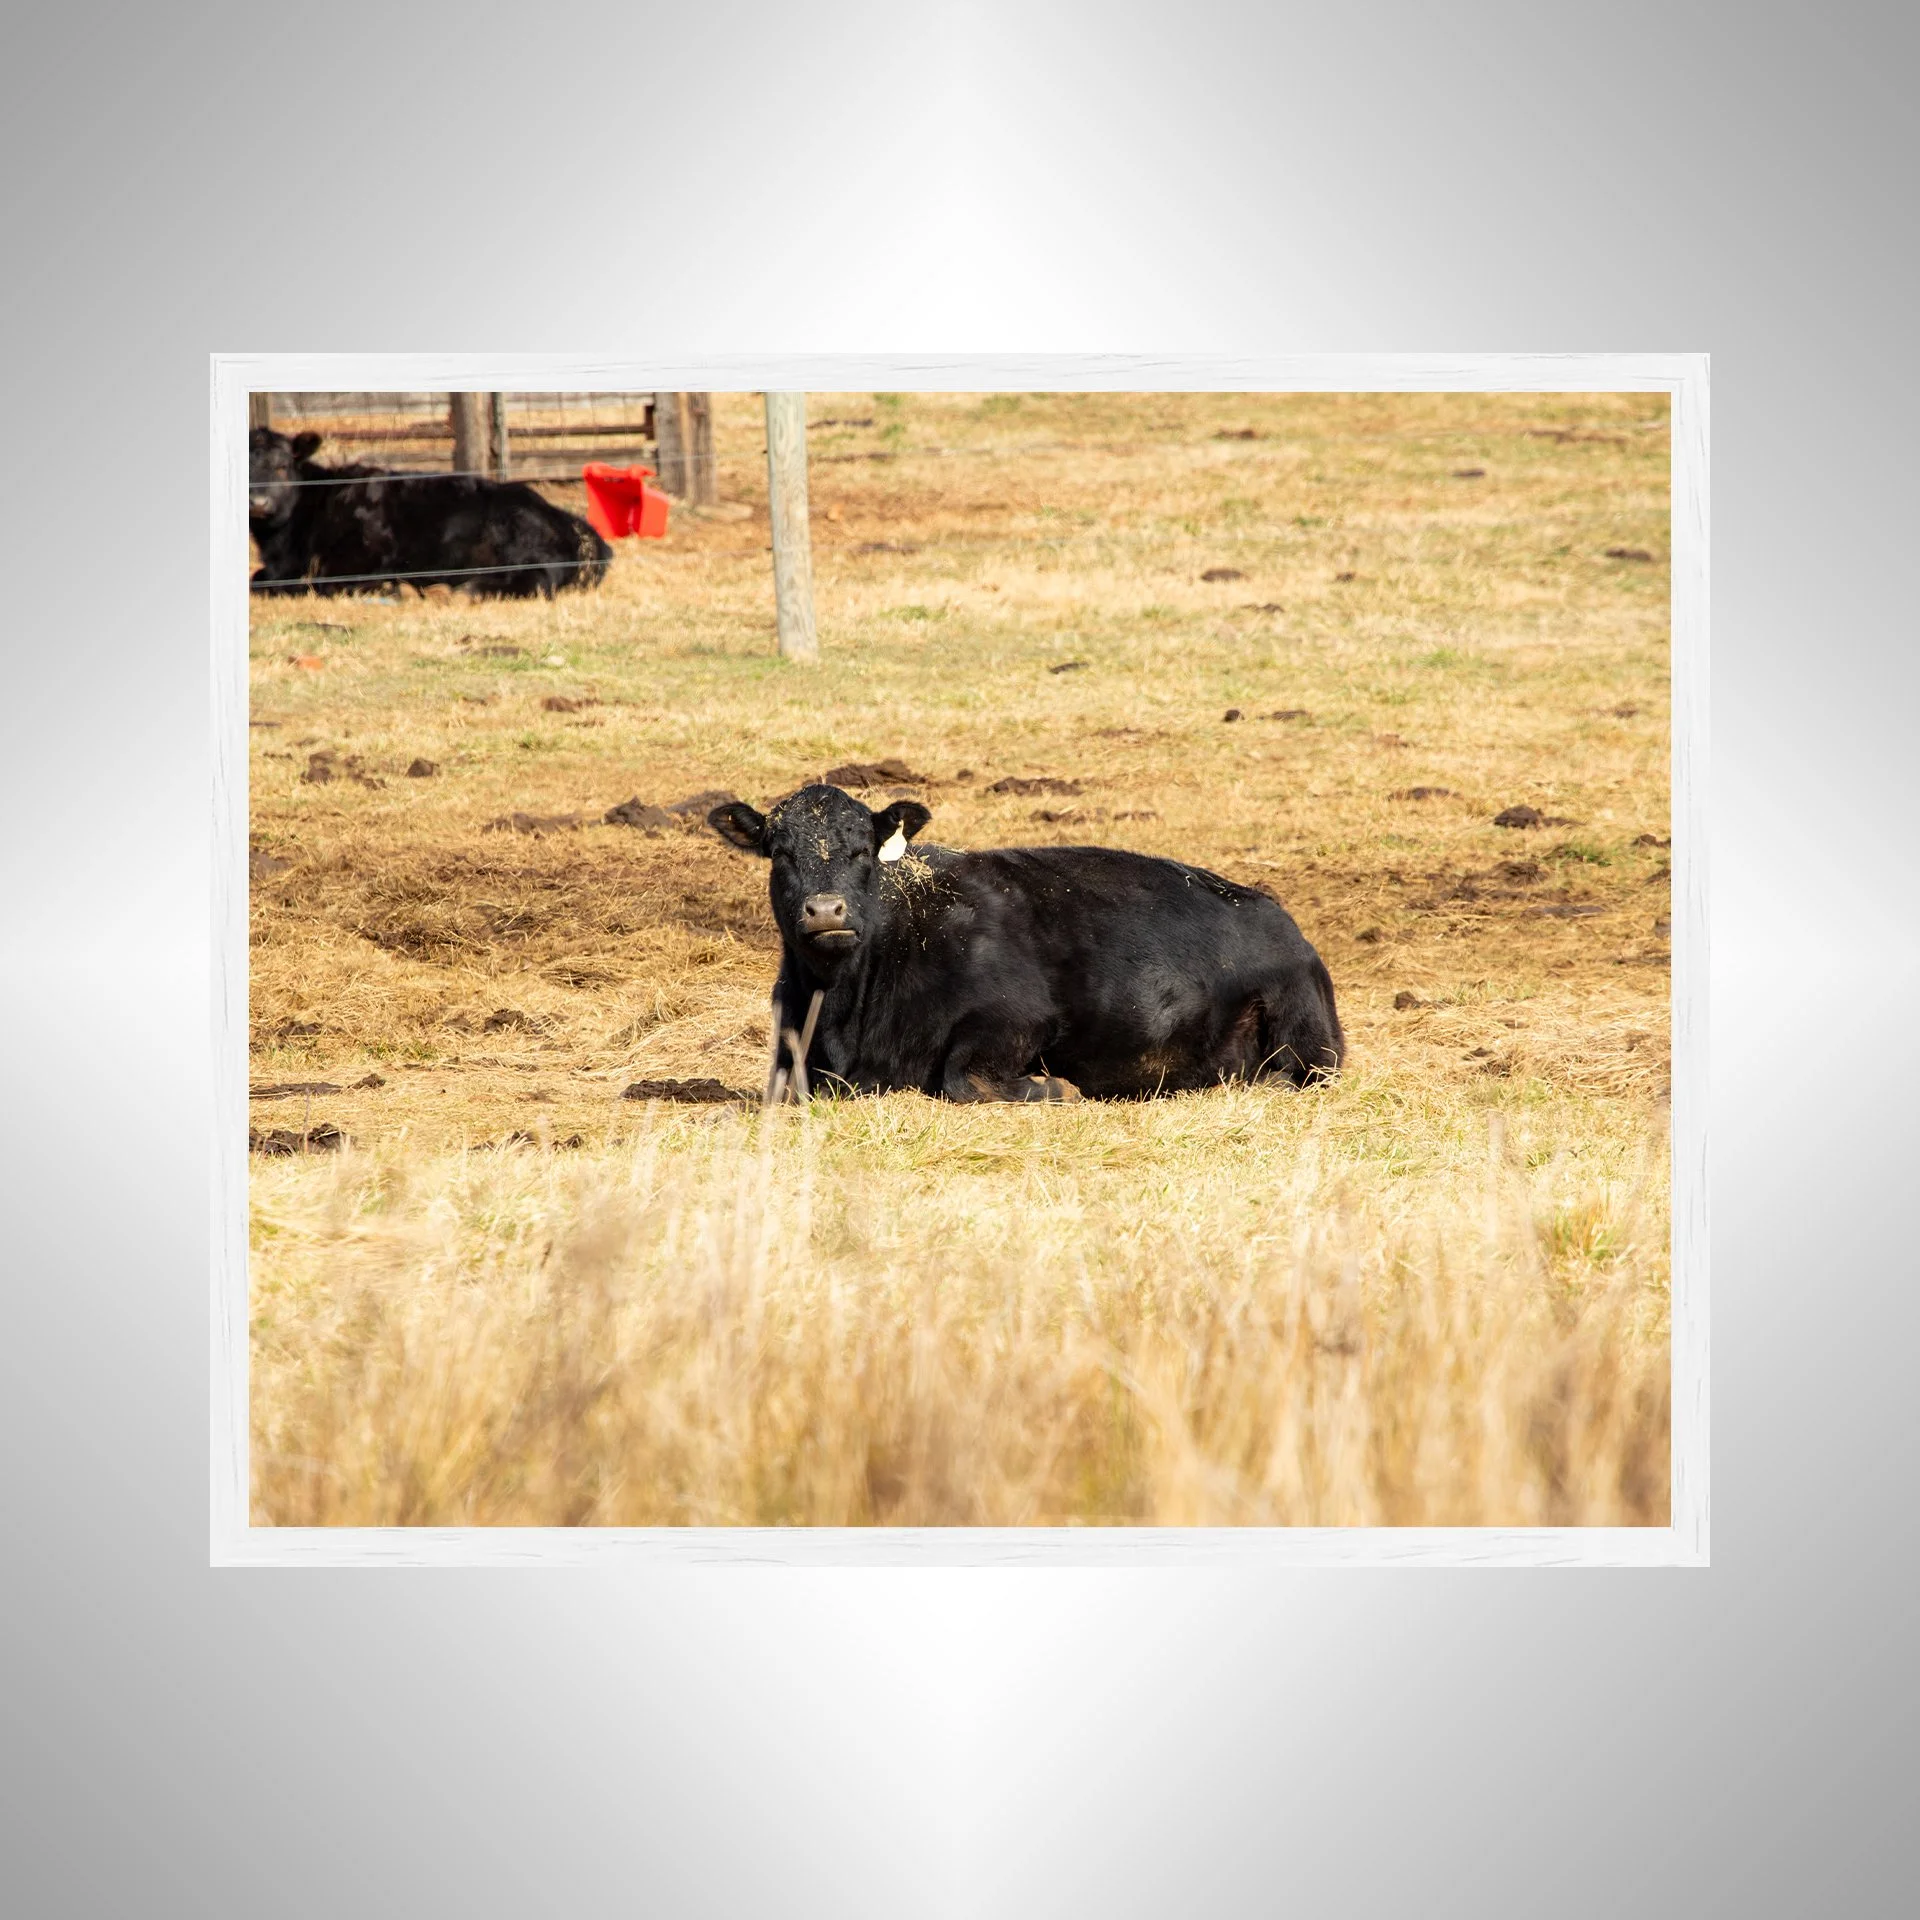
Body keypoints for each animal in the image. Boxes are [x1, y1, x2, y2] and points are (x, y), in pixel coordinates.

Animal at [247, 427, 612, 598]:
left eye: (282, 466)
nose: (259, 503)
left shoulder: (366, 555)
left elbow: (314, 583)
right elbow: (258, 579)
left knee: (536, 581)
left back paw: (462, 592)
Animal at [708, 783, 1344, 1102]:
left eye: (863, 850)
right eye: (779, 853)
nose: (825, 910)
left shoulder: (1018, 1017)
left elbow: (961, 1078)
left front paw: (1055, 1085)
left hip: (1306, 1036)